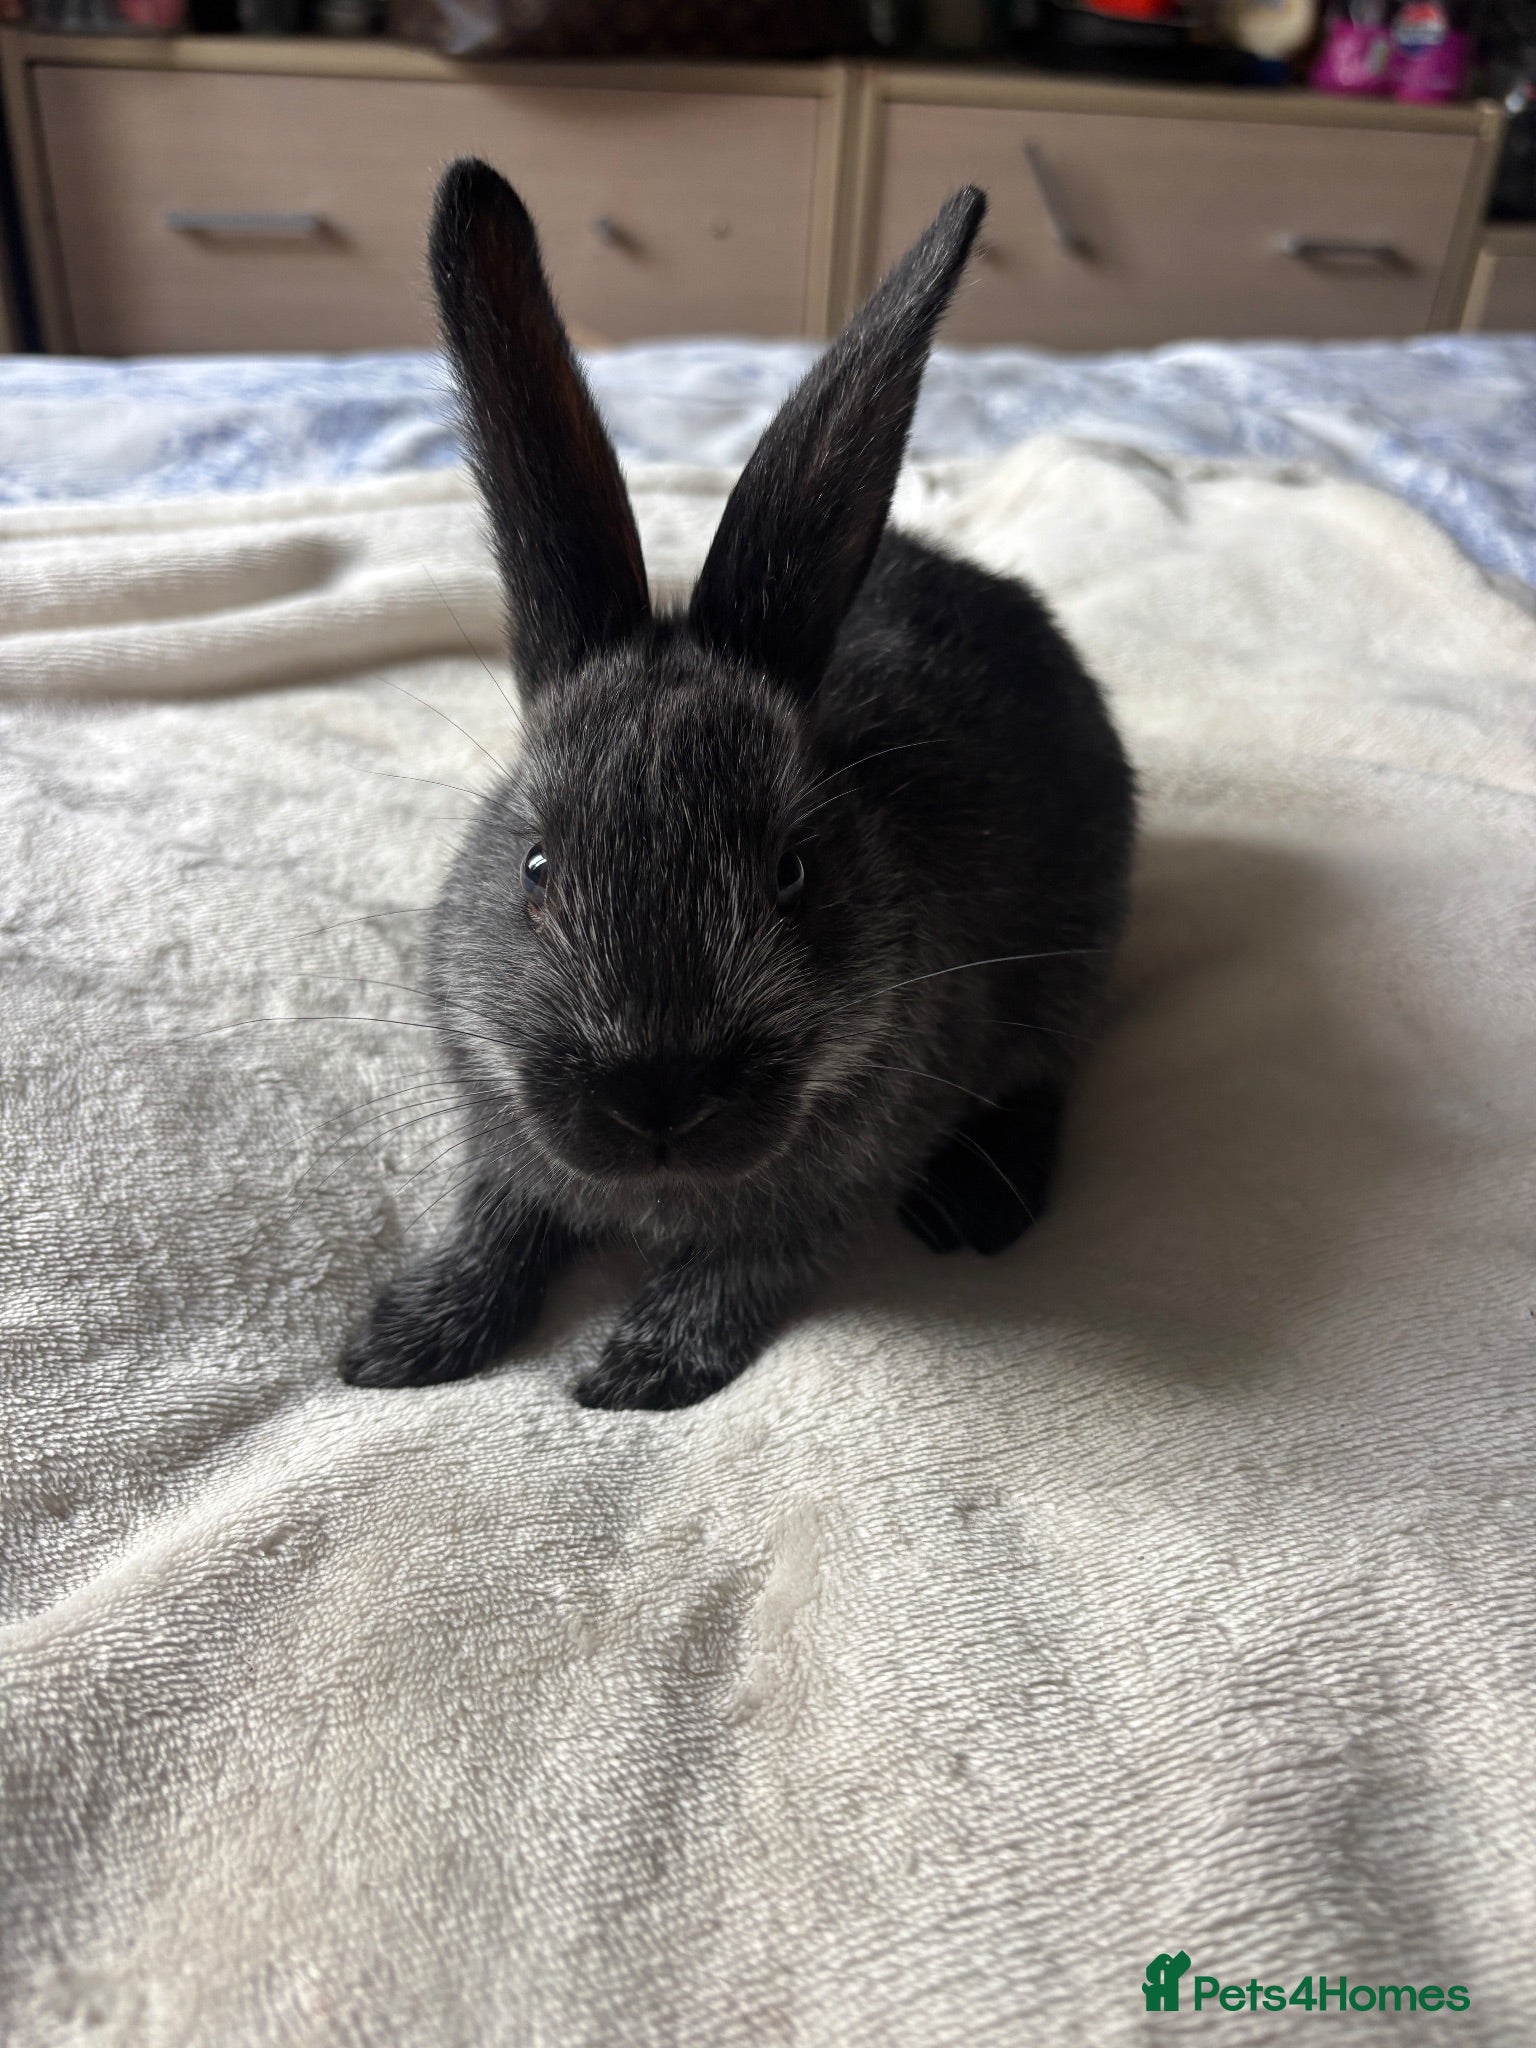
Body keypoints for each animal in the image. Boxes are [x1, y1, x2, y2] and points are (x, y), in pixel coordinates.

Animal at [340, 158, 1136, 1412]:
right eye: (535, 865)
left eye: (792, 871)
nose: (655, 1096)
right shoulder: (503, 1144)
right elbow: (498, 1223)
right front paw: (406, 1336)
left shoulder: (823, 1192)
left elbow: (743, 1265)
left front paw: (639, 1369)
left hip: (1073, 951)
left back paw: (981, 1204)